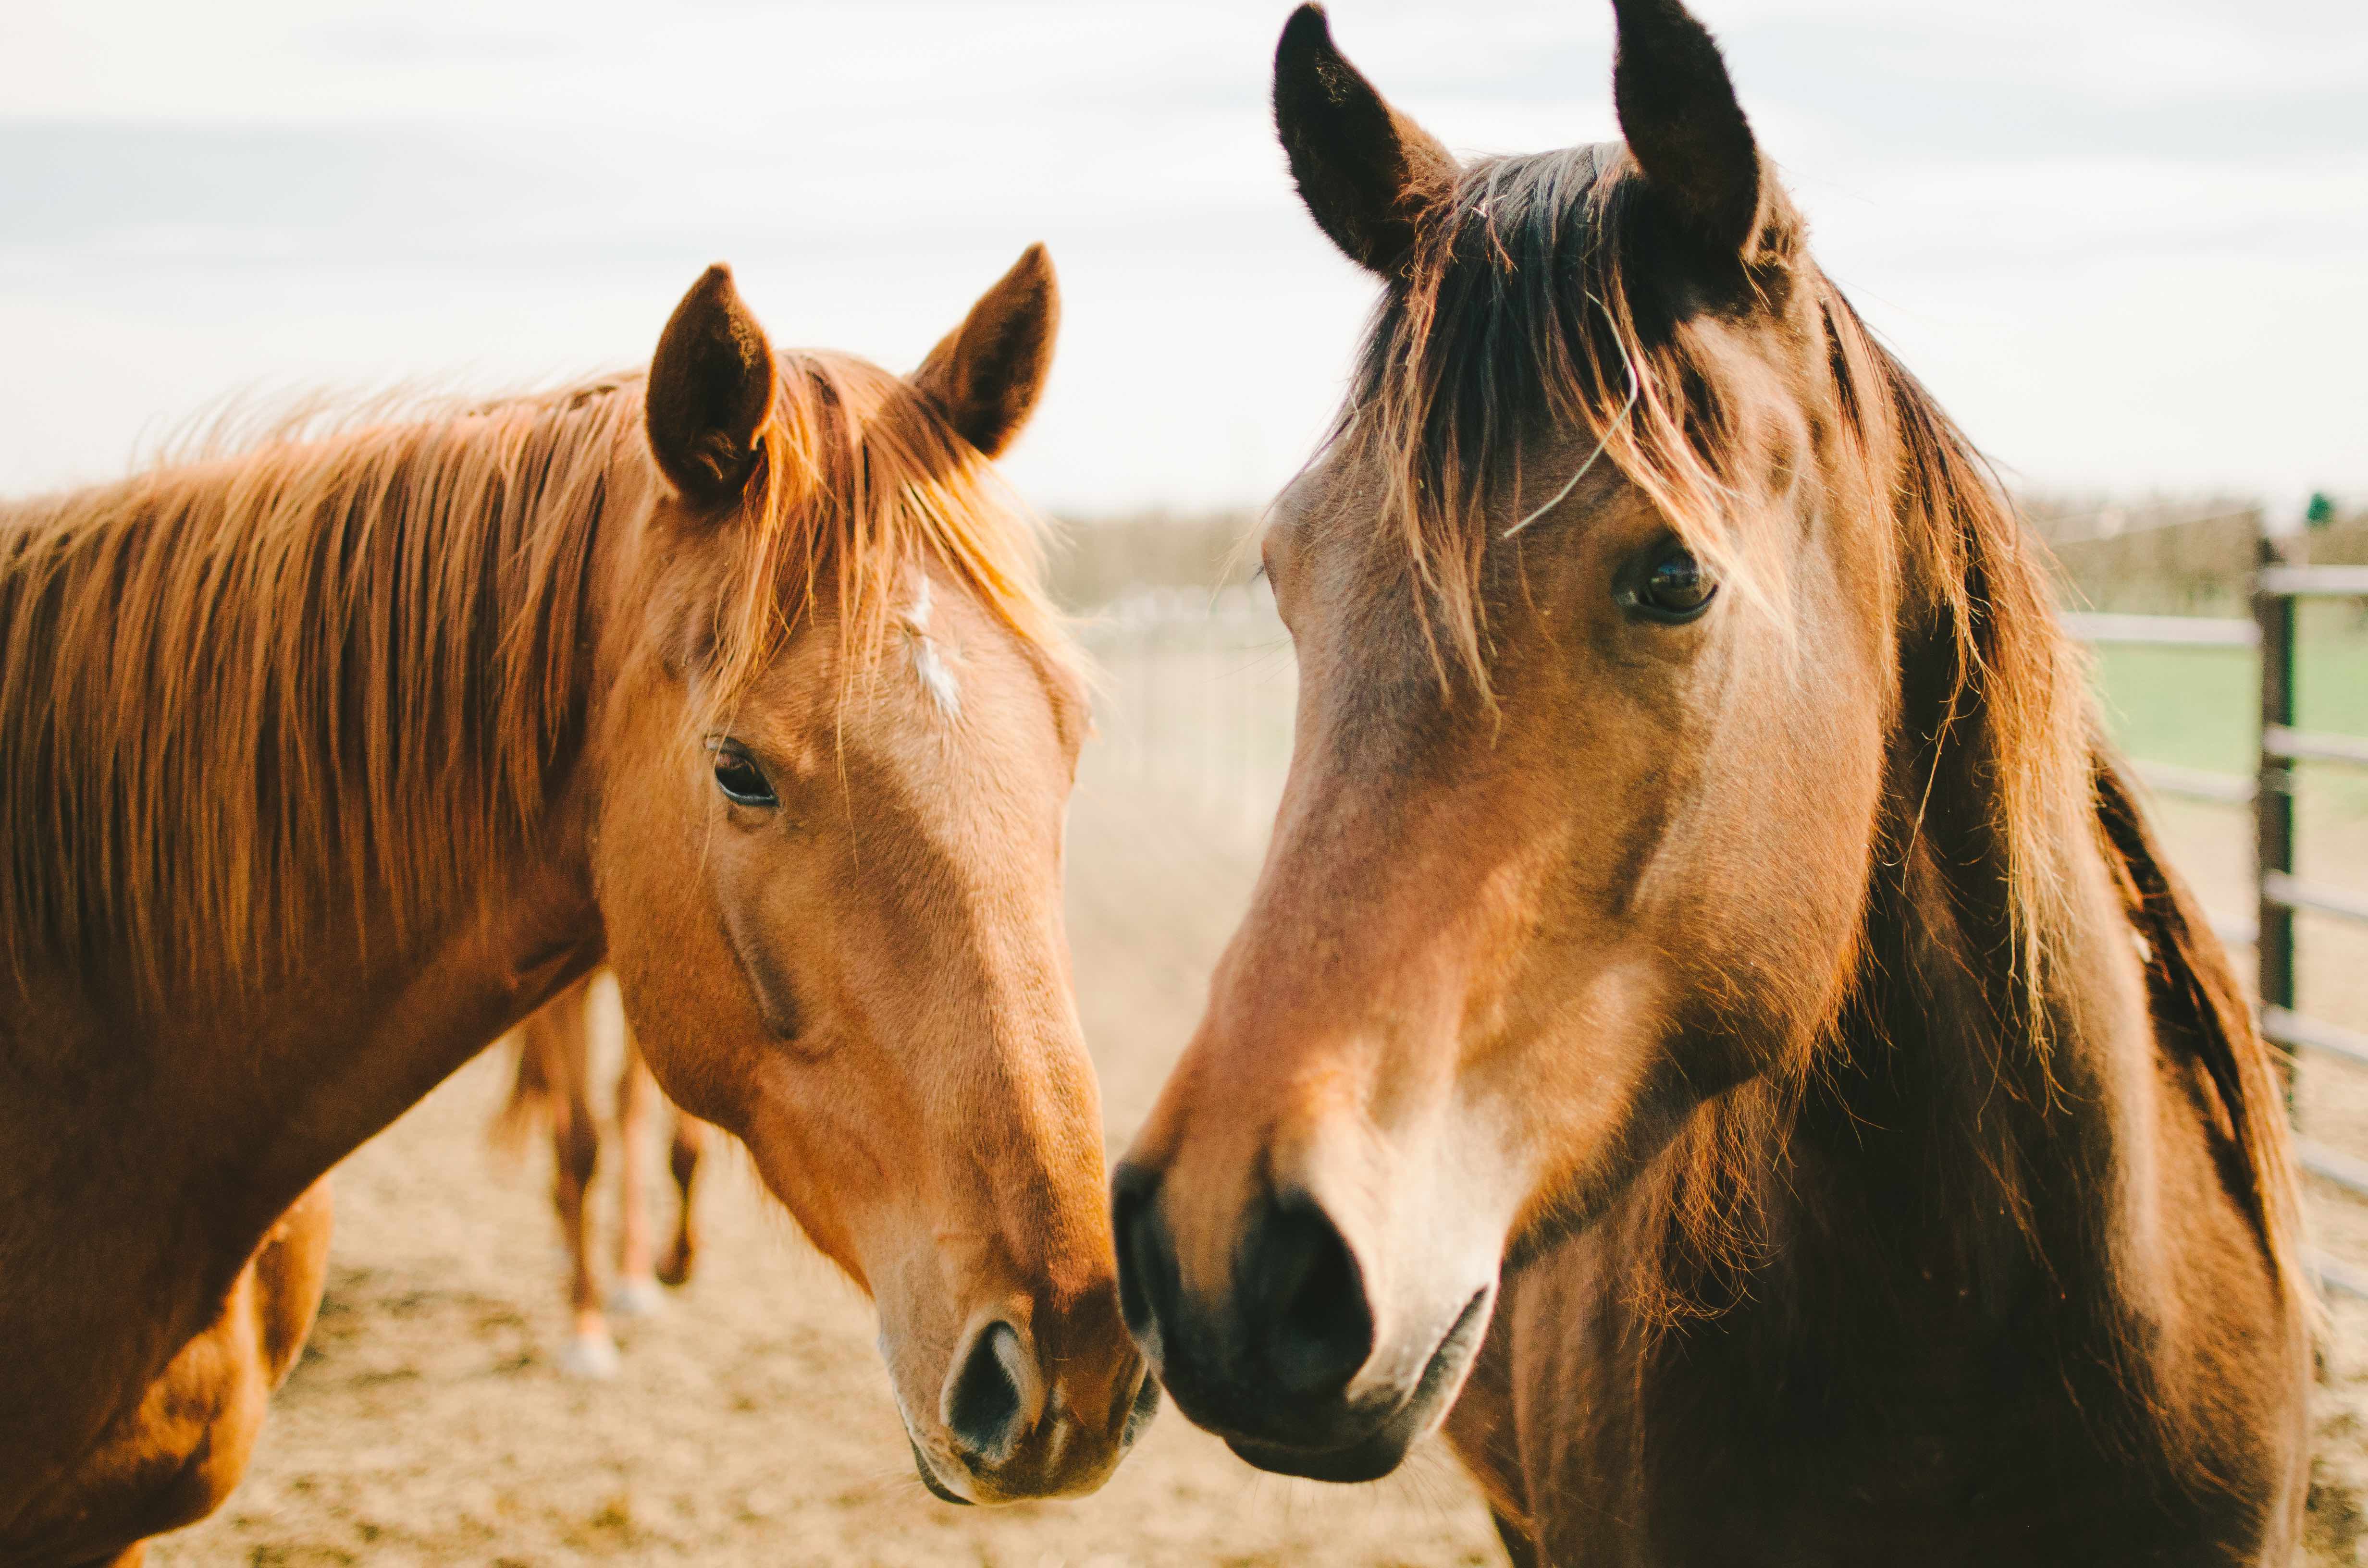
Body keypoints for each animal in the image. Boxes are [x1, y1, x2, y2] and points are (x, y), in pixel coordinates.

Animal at [481, 966, 701, 1383]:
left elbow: (686, 1146)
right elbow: (579, 1150)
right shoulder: (559, 998)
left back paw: (633, 1273)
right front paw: (586, 1334)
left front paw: (675, 1264)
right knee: (558, 1109)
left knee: (626, 1105)